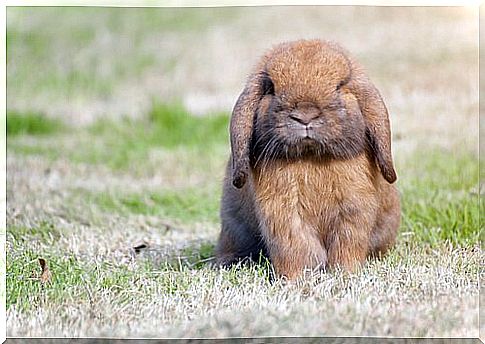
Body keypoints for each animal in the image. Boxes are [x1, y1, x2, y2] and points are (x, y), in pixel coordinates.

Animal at [216, 39, 400, 280]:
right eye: (271, 87)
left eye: (340, 86)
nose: (305, 115)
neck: (311, 157)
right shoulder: (284, 216)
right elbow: (297, 250)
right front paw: (296, 279)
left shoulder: (353, 212)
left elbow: (347, 247)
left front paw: (345, 274)